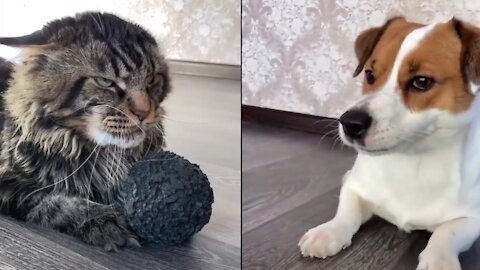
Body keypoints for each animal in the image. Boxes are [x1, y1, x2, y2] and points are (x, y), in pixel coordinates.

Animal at [0, 11, 171, 250]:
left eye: (152, 79)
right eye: (105, 82)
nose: (144, 113)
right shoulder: (9, 183)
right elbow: (54, 200)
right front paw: (103, 220)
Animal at [298, 17, 480, 270]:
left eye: (421, 81)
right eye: (369, 74)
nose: (350, 122)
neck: (412, 160)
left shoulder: (473, 219)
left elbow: (446, 232)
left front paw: (439, 259)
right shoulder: (357, 188)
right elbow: (346, 211)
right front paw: (328, 232)